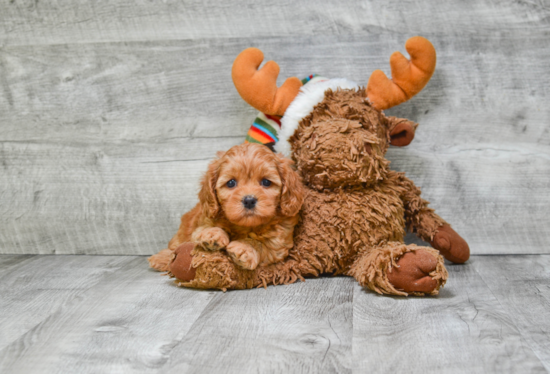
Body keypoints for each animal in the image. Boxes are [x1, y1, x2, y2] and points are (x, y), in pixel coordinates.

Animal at [149, 143, 306, 272]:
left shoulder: (278, 243)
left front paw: (244, 248)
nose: (249, 200)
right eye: (231, 183)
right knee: (175, 246)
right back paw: (161, 258)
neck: (245, 227)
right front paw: (212, 234)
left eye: (266, 182)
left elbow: (261, 244)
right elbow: (204, 230)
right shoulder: (200, 224)